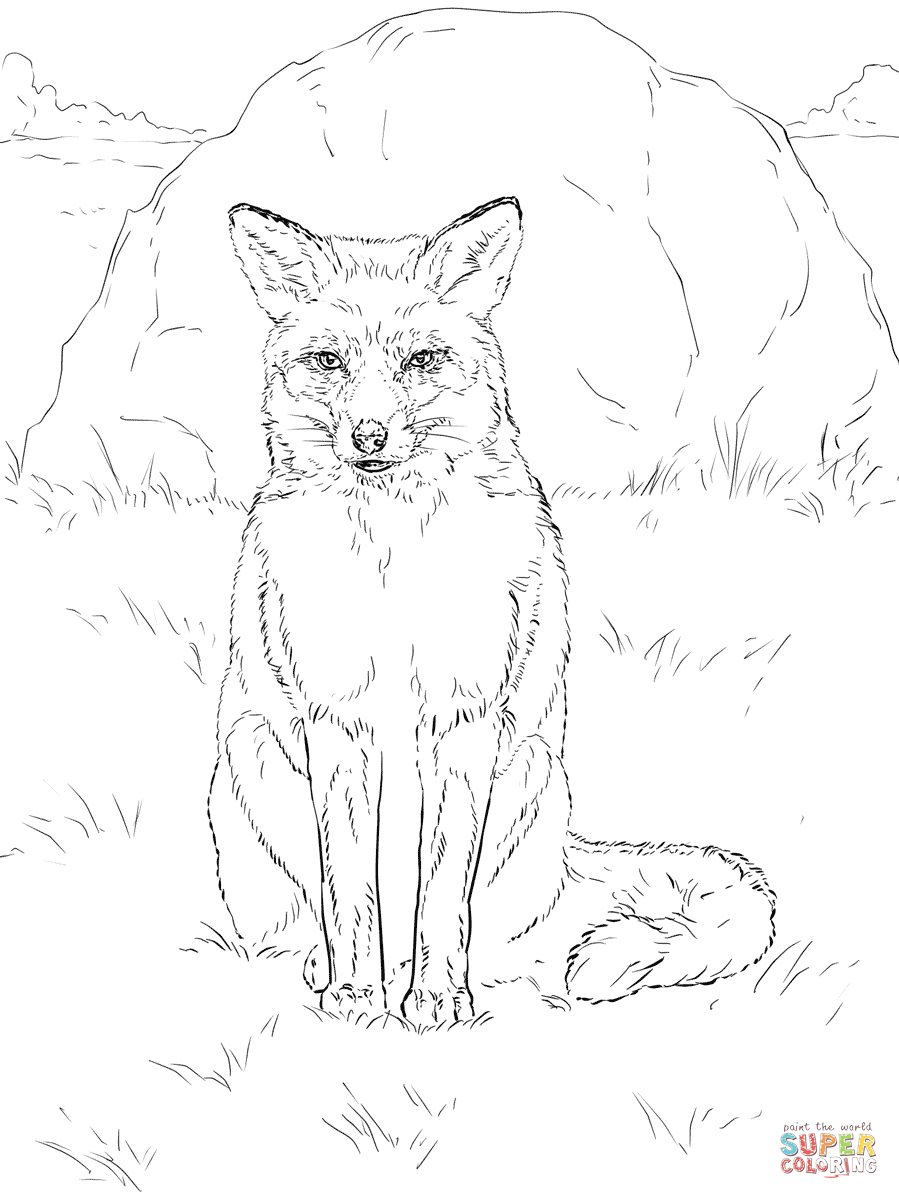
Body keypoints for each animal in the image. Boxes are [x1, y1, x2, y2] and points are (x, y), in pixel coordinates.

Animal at [207, 196, 775, 1024]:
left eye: (420, 360)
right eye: (329, 362)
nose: (369, 436)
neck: (392, 568)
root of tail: (568, 860)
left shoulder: (462, 717)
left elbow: (443, 893)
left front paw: (436, 996)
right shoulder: (337, 721)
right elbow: (349, 892)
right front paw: (357, 992)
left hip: (529, 777)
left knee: (503, 937)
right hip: (252, 760)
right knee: (307, 917)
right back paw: (333, 967)